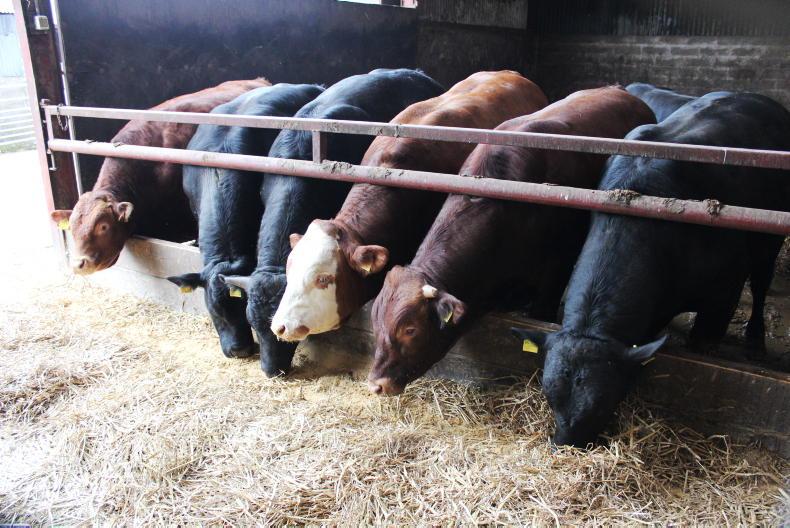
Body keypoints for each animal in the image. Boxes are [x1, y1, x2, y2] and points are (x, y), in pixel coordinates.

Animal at [511, 92, 790, 448]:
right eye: (549, 396)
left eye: (604, 402)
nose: (566, 443)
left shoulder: (722, 296)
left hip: (769, 241)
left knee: (761, 284)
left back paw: (756, 340)